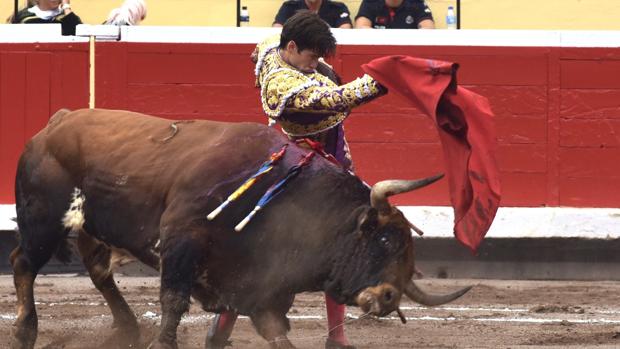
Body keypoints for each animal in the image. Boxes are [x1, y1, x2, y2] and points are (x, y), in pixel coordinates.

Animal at [10, 109, 470, 348]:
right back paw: (24, 332)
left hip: (92, 227)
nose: (390, 296)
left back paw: (126, 329)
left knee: (98, 269)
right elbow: (173, 302)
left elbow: (277, 334)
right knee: (23, 263)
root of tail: (56, 122)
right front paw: (163, 342)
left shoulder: (259, 287)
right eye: (386, 239)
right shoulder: (181, 240)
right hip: (43, 221)